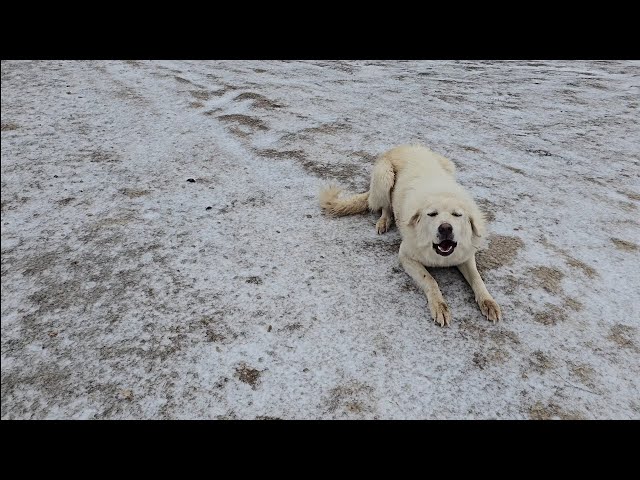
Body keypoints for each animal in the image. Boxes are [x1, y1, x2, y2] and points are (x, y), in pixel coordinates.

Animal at [320, 144, 500, 328]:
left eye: (457, 215)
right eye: (432, 214)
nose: (445, 228)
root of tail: (403, 146)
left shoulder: (465, 255)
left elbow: (477, 278)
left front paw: (488, 302)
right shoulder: (405, 256)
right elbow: (430, 280)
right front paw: (439, 305)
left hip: (448, 165)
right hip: (384, 177)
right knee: (386, 206)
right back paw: (384, 221)